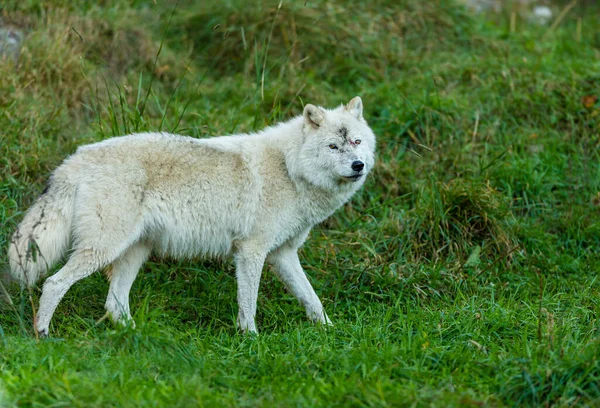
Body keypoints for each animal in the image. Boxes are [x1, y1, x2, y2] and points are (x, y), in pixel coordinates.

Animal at [8, 97, 376, 336]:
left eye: (357, 141)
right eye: (333, 146)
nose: (358, 165)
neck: (290, 170)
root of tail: (74, 160)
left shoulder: (283, 255)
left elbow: (312, 299)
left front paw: (330, 332)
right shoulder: (251, 251)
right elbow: (249, 303)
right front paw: (251, 339)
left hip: (135, 253)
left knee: (114, 304)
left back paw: (140, 335)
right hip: (103, 250)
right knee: (54, 283)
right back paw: (43, 334)